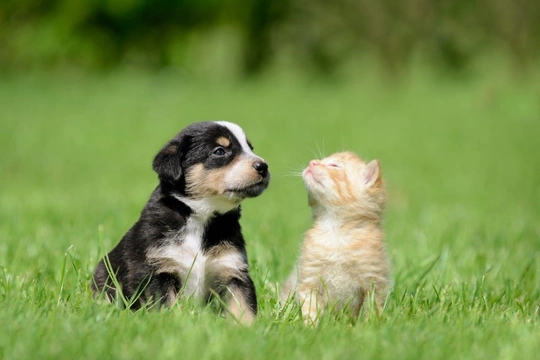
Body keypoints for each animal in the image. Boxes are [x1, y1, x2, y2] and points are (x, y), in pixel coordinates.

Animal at [94, 121, 270, 324]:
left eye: (250, 148)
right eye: (219, 151)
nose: (263, 166)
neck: (200, 218)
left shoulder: (232, 269)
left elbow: (243, 307)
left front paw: (248, 328)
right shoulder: (157, 271)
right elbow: (166, 306)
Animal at [280, 150, 390, 324]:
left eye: (334, 165)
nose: (312, 162)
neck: (335, 232)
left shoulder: (374, 283)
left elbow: (371, 311)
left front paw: (368, 327)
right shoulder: (309, 280)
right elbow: (310, 309)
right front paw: (310, 327)